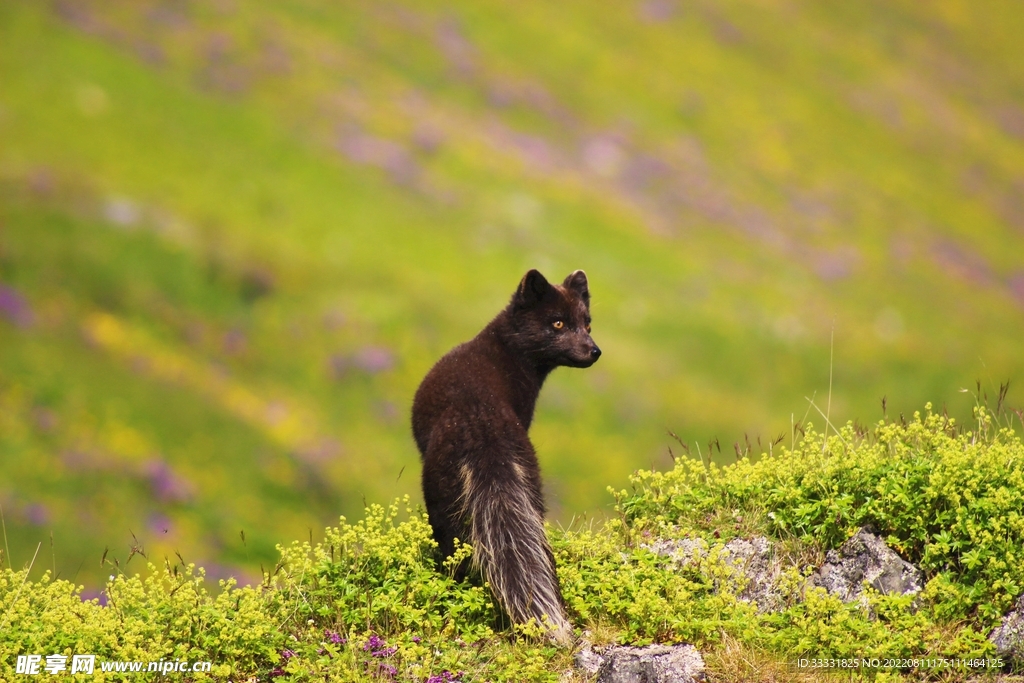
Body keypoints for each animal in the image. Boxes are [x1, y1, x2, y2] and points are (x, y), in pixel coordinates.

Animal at [409, 270, 598, 643]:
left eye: (587, 323)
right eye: (558, 323)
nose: (594, 351)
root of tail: (483, 428)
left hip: (441, 499)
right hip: (531, 492)